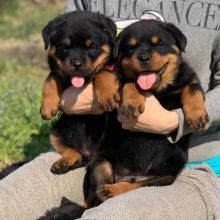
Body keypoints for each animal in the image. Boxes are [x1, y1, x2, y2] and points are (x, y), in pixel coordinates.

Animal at [40, 11, 120, 174]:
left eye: (92, 47)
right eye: (64, 47)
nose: (77, 64)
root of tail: (90, 153)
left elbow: (102, 71)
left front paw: (108, 96)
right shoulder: (58, 72)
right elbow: (50, 79)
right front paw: (47, 107)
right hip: (56, 132)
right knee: (73, 152)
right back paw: (64, 162)